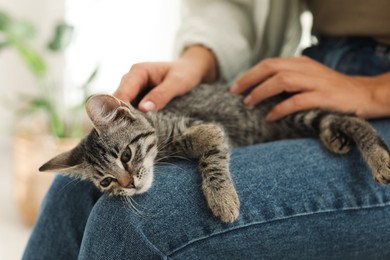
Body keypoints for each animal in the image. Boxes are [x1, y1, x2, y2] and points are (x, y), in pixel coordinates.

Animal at [38, 84, 390, 222]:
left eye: (125, 155)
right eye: (106, 183)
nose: (129, 185)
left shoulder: (210, 128)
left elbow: (212, 159)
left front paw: (222, 199)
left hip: (289, 113)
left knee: (351, 117)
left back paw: (380, 159)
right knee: (331, 120)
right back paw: (333, 138)